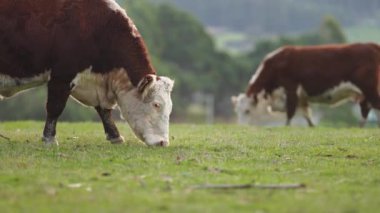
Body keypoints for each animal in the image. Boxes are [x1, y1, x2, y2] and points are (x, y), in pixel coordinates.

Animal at [0, 0, 174, 146]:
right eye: (156, 104)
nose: (163, 142)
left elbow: (104, 111)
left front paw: (116, 136)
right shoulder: (62, 75)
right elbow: (55, 107)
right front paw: (49, 139)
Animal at [232, 43, 380, 126]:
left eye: (247, 111)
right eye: (237, 111)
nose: (242, 127)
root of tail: (371, 45)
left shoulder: (291, 90)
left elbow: (290, 114)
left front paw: (286, 127)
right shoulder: (301, 98)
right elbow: (306, 115)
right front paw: (312, 126)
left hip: (369, 88)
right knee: (366, 110)